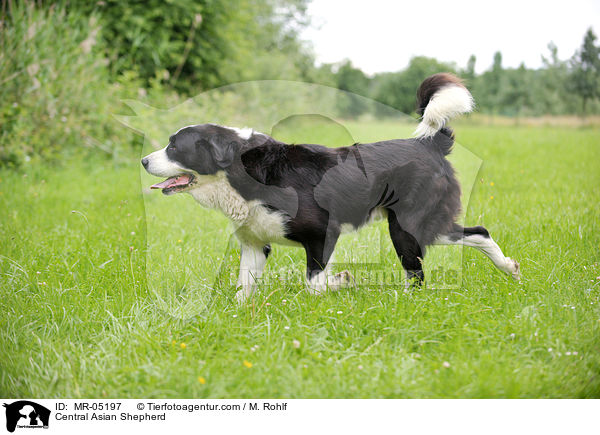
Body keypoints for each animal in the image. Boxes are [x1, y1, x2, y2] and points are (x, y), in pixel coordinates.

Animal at [142, 72, 520, 304]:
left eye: (175, 147)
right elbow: (243, 287)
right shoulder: (255, 242)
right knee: (476, 232)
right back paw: (509, 269)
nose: (144, 161)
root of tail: (431, 145)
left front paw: (339, 283)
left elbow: (314, 282)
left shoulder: (322, 231)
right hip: (420, 226)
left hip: (407, 228)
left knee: (427, 265)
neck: (241, 170)